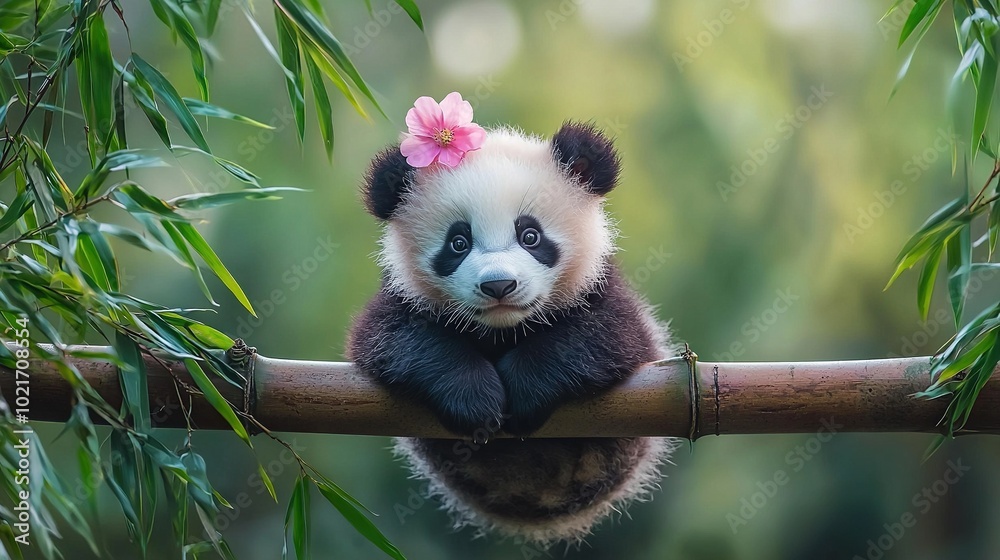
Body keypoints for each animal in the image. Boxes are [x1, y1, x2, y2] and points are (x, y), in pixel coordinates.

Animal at [347, 121, 680, 546]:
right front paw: (476, 400)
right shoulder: (401, 300)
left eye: (530, 236)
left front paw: (523, 391)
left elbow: (606, 339)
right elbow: (394, 341)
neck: (503, 330)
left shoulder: (607, 297)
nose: (499, 285)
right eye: (458, 243)